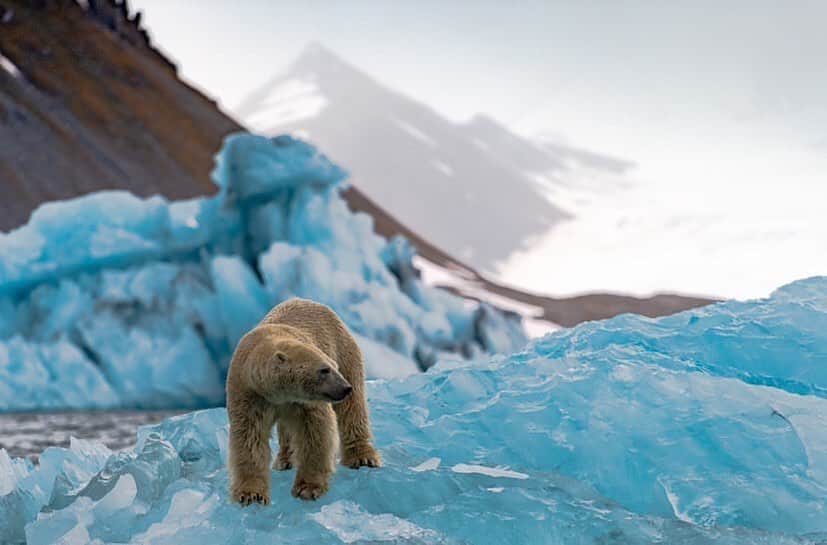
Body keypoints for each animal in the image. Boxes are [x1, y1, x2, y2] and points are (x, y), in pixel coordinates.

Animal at [226, 298, 382, 504]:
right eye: (324, 370)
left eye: (333, 367)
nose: (345, 388)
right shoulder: (250, 394)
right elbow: (249, 437)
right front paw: (251, 494)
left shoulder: (306, 402)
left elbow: (316, 432)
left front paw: (307, 488)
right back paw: (284, 460)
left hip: (346, 351)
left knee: (352, 409)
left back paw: (363, 457)